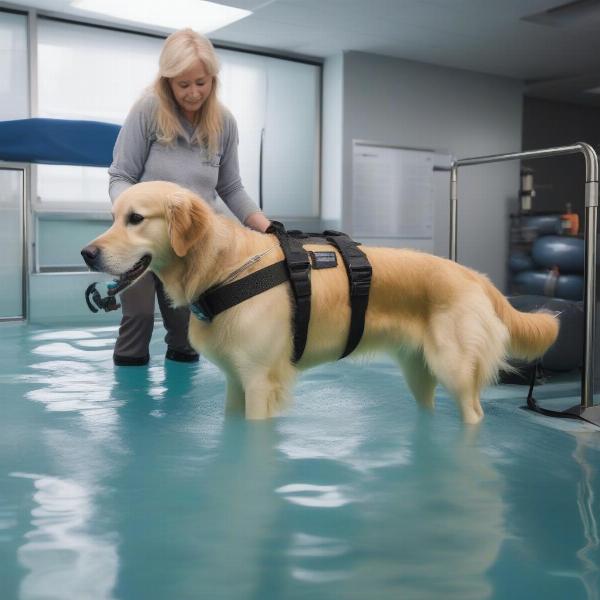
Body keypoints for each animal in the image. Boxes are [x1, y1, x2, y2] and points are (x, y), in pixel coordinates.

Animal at [82, 180, 560, 424]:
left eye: (136, 219)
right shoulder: (238, 382)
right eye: (113, 218)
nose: (87, 253)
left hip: (456, 371)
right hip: (419, 372)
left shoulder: (260, 382)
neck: (225, 267)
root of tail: (477, 277)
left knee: (474, 412)